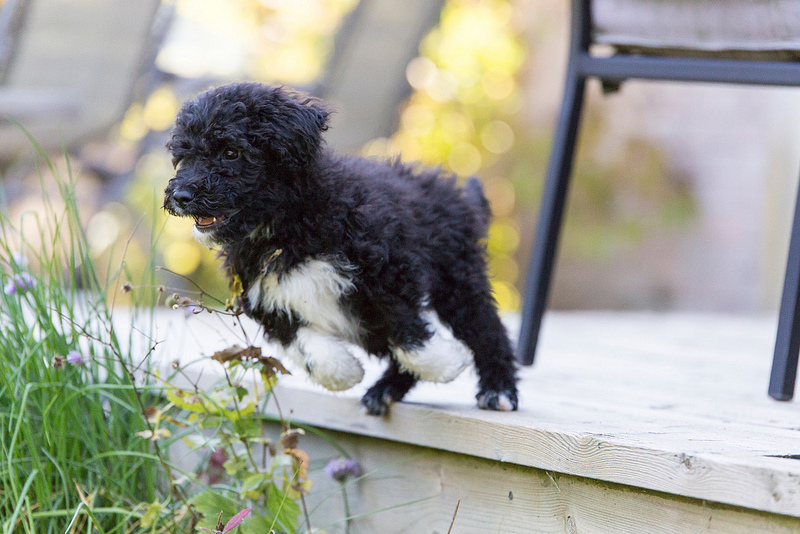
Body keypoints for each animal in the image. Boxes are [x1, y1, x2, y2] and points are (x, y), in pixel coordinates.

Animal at [162, 84, 520, 416]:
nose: (180, 196)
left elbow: (405, 329)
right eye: (184, 156)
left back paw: (498, 390)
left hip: (458, 279)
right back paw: (385, 390)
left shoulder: (387, 271)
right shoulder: (266, 300)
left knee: (487, 331)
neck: (285, 230)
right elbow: (304, 344)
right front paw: (344, 373)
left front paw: (445, 363)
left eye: (231, 152)